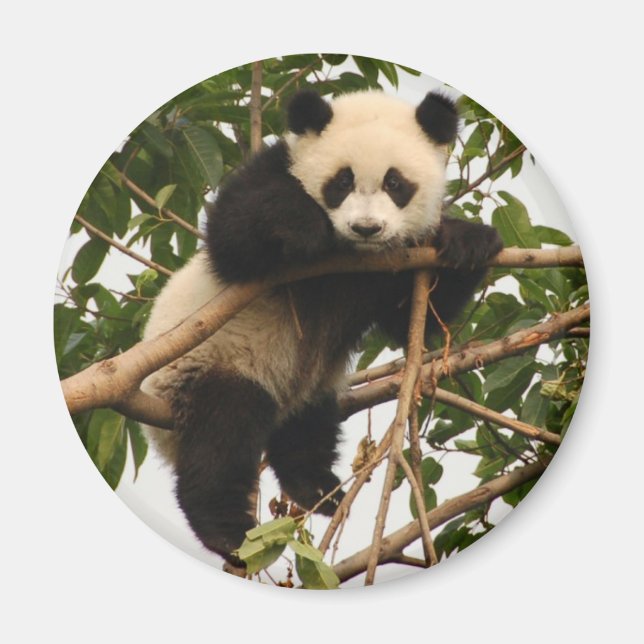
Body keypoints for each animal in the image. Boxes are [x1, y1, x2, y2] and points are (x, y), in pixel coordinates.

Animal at [141, 88, 503, 567]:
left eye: (395, 184)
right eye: (341, 182)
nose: (366, 228)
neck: (349, 257)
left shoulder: (390, 267)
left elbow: (411, 317)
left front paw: (467, 239)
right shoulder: (269, 173)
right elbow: (232, 234)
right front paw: (304, 226)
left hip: (305, 382)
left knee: (308, 429)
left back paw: (316, 487)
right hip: (205, 365)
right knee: (223, 432)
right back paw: (226, 528)